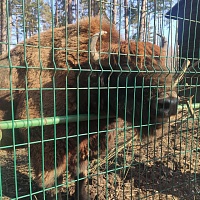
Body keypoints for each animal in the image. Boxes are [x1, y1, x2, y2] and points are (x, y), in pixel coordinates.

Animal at [0, 16, 178, 199]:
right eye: (126, 70)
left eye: (163, 66)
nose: (169, 103)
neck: (79, 76)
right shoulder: (47, 149)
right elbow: (53, 183)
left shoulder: (82, 147)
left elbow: (81, 176)